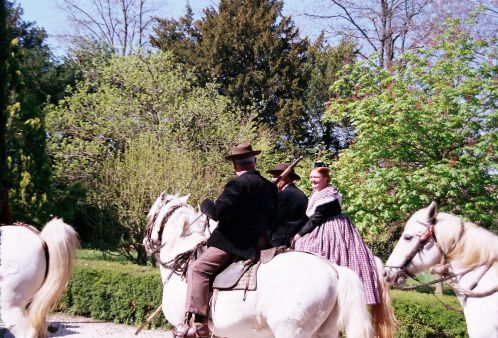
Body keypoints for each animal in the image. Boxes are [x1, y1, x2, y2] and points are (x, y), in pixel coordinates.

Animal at [144, 193, 392, 338]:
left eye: (150, 214)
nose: (146, 242)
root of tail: (334, 269)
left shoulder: (182, 326)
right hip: (324, 332)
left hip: (291, 331)